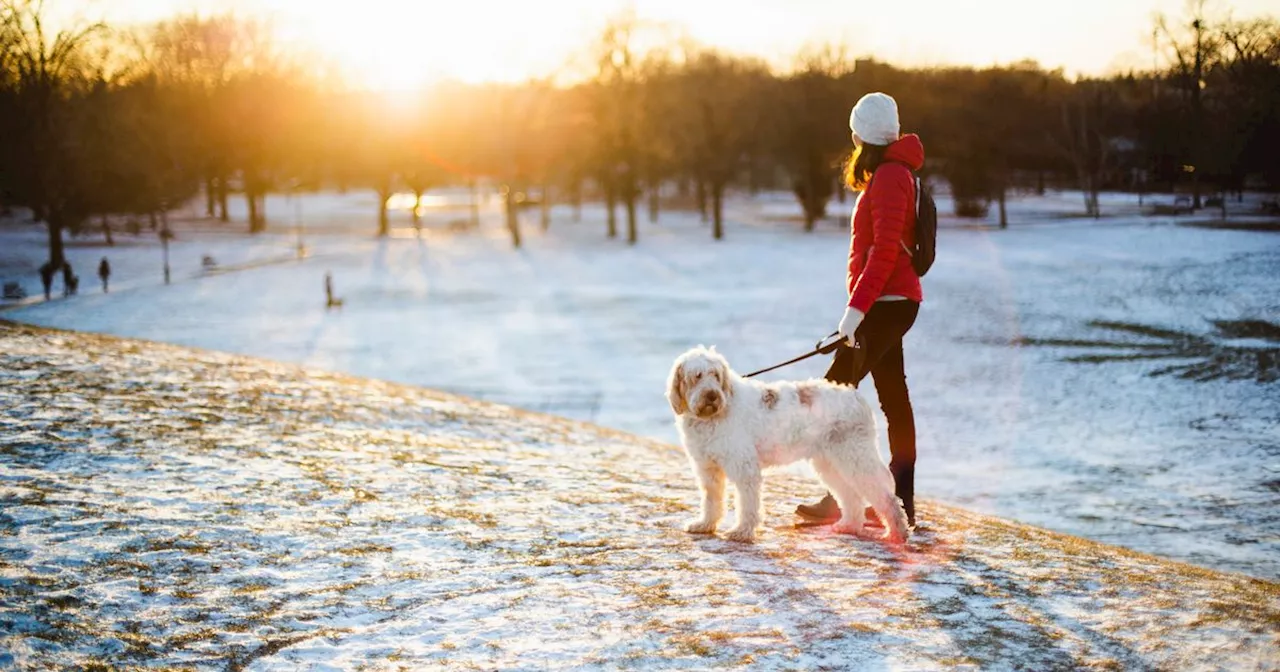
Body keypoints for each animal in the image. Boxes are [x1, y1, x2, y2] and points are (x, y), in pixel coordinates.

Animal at [665, 343, 906, 542]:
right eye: (696, 377)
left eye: (715, 375)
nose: (712, 396)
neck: (719, 412)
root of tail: (857, 398)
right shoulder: (708, 469)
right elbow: (711, 501)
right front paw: (705, 524)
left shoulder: (744, 468)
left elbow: (747, 504)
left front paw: (742, 532)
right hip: (831, 463)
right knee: (851, 497)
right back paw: (849, 525)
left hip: (856, 457)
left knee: (886, 498)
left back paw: (896, 533)